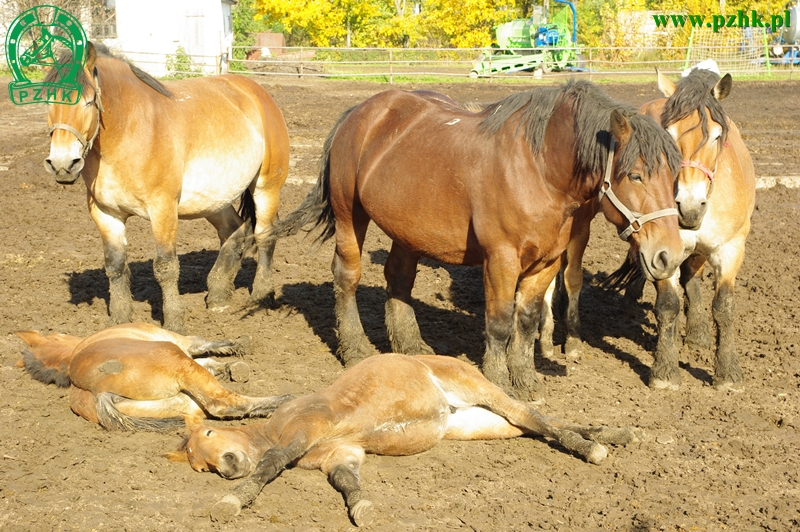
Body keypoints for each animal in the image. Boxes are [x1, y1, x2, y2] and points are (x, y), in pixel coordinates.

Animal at [42, 42, 290, 332]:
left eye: (89, 101)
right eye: (47, 102)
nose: (62, 164)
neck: (131, 132)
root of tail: (257, 93)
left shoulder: (163, 209)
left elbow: (165, 267)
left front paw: (174, 322)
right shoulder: (105, 213)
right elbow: (115, 265)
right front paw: (119, 322)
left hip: (266, 187)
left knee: (264, 235)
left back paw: (261, 295)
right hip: (213, 200)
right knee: (235, 230)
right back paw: (218, 294)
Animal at [170, 352, 644, 524]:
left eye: (210, 431)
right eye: (200, 465)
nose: (227, 467)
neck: (276, 425)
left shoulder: (307, 430)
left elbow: (270, 465)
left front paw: (234, 500)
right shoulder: (341, 454)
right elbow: (348, 483)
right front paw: (362, 508)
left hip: (478, 390)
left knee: (531, 416)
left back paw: (594, 447)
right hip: (471, 424)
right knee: (534, 424)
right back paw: (614, 434)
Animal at [262, 81, 680, 400]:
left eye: (674, 176)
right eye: (636, 175)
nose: (670, 255)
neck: (539, 168)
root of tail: (359, 112)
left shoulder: (546, 262)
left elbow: (526, 323)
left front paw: (525, 381)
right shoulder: (501, 259)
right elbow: (499, 322)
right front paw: (498, 381)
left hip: (407, 230)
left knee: (398, 279)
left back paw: (411, 348)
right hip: (350, 216)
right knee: (346, 276)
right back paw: (355, 349)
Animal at [536, 68, 756, 390]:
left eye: (717, 136)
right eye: (670, 135)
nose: (688, 205)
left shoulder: (731, 248)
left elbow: (724, 306)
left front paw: (728, 372)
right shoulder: (662, 249)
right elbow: (668, 304)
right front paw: (665, 369)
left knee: (692, 277)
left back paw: (697, 332)